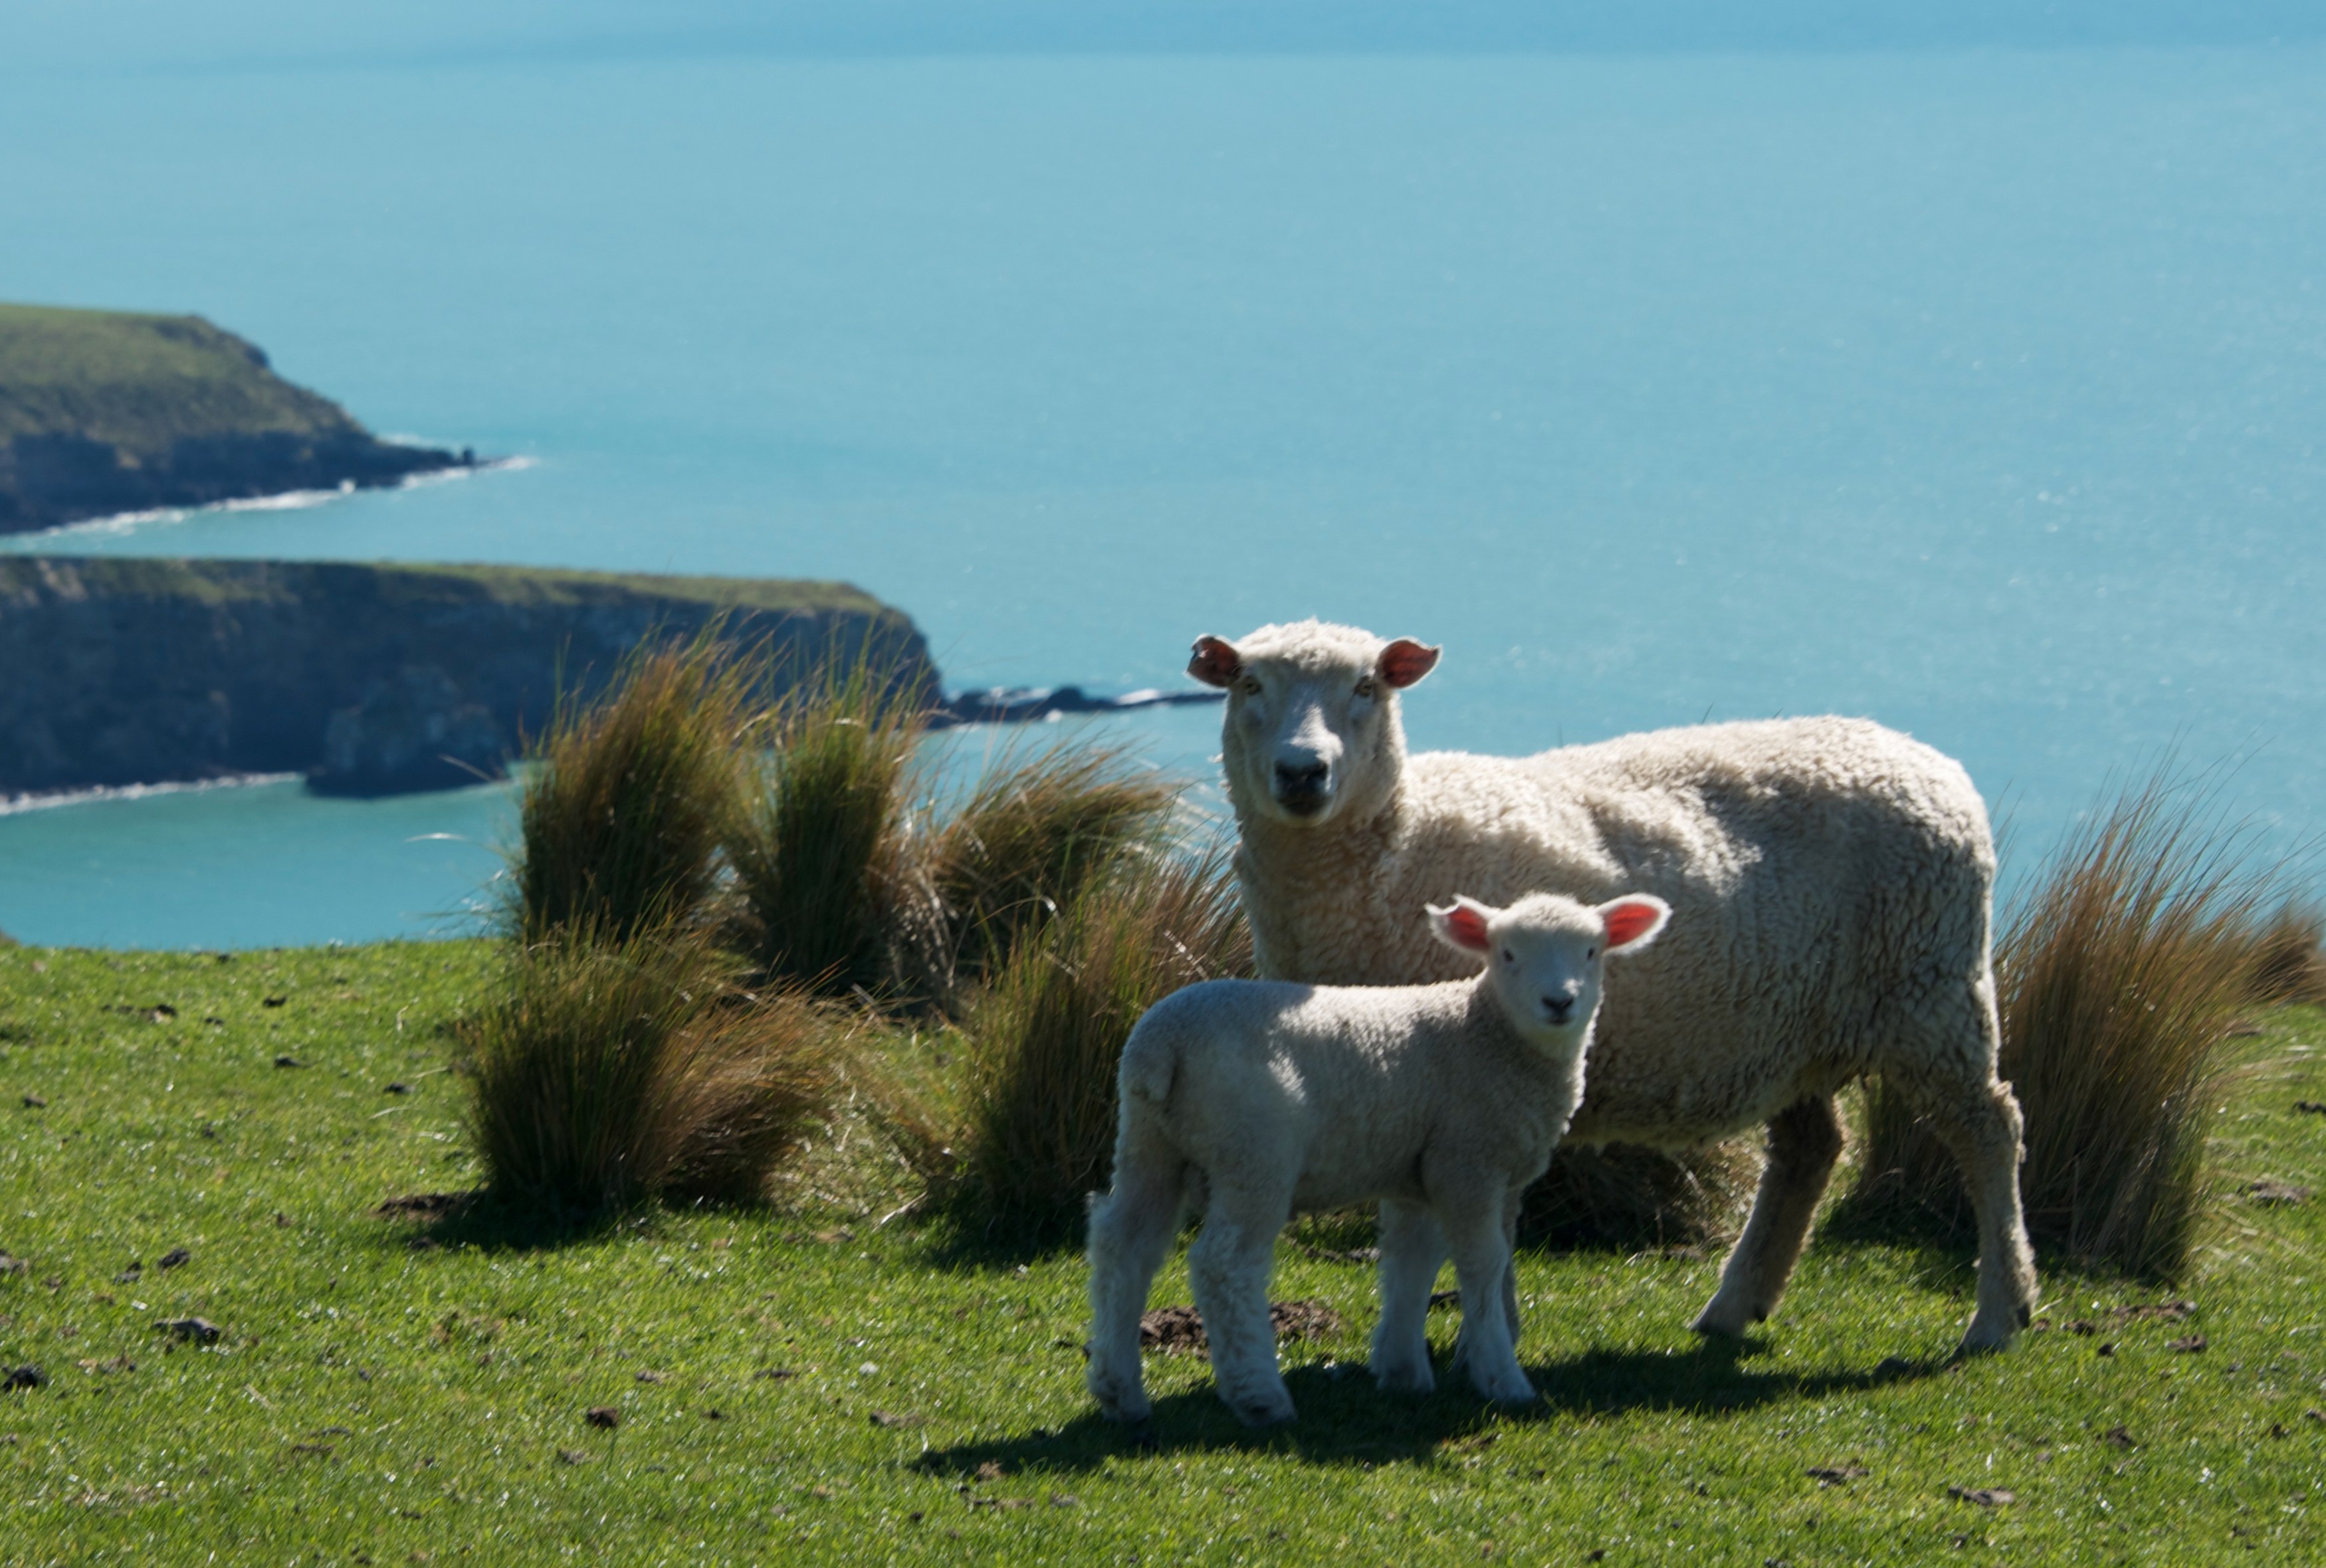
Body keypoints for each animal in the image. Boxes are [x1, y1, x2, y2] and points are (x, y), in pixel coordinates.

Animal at [1085, 889, 1670, 1426]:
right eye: (1507, 953)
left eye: (1592, 951)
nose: (1559, 1003)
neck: (1484, 1033)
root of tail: (1163, 1043)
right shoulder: (1468, 1161)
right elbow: (1483, 1263)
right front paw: (1502, 1378)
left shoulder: (1420, 1169)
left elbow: (1412, 1262)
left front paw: (1403, 1371)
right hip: (1254, 1150)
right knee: (1224, 1265)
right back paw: (1260, 1396)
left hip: (1149, 1145)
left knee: (1124, 1245)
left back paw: (1120, 1392)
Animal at [1183, 620, 2038, 1354]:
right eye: (1249, 683)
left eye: (1365, 686)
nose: (1302, 772)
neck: (1392, 842)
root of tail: (1920, 757)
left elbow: (1483, 1218)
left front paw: (1489, 1331)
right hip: (1787, 1022)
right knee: (1811, 1147)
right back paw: (1735, 1304)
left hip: (1930, 993)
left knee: (1989, 1128)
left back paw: (1998, 1312)